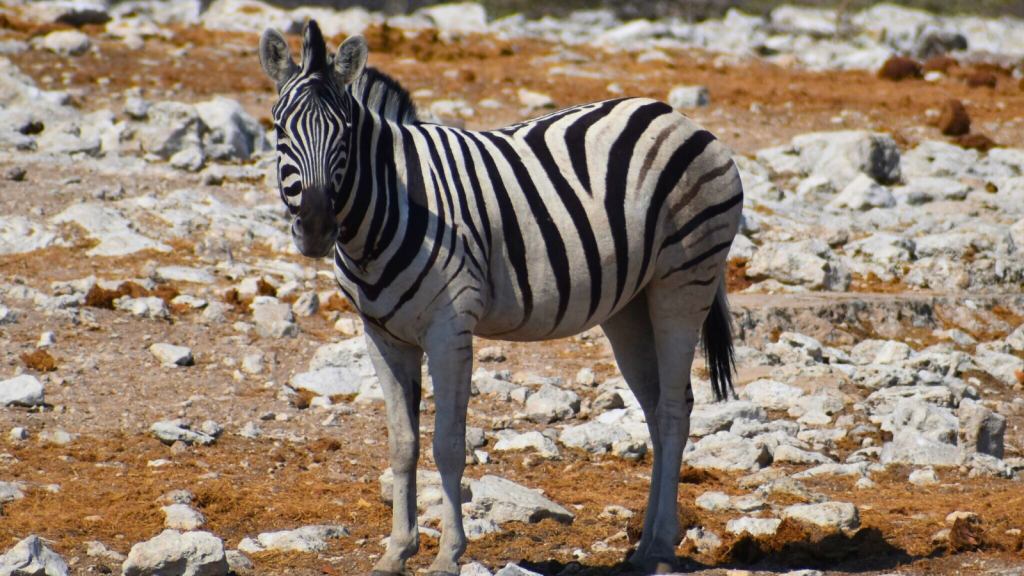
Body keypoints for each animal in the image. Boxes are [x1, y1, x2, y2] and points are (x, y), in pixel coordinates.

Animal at [260, 21, 745, 573]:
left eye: (344, 135)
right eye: (279, 132)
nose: (317, 229)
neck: (387, 209)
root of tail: (673, 115)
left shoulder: (450, 329)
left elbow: (447, 445)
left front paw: (448, 554)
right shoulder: (381, 336)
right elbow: (402, 445)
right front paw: (396, 551)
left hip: (683, 280)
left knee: (673, 410)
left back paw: (661, 547)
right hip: (630, 305)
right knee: (657, 406)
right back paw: (643, 546)